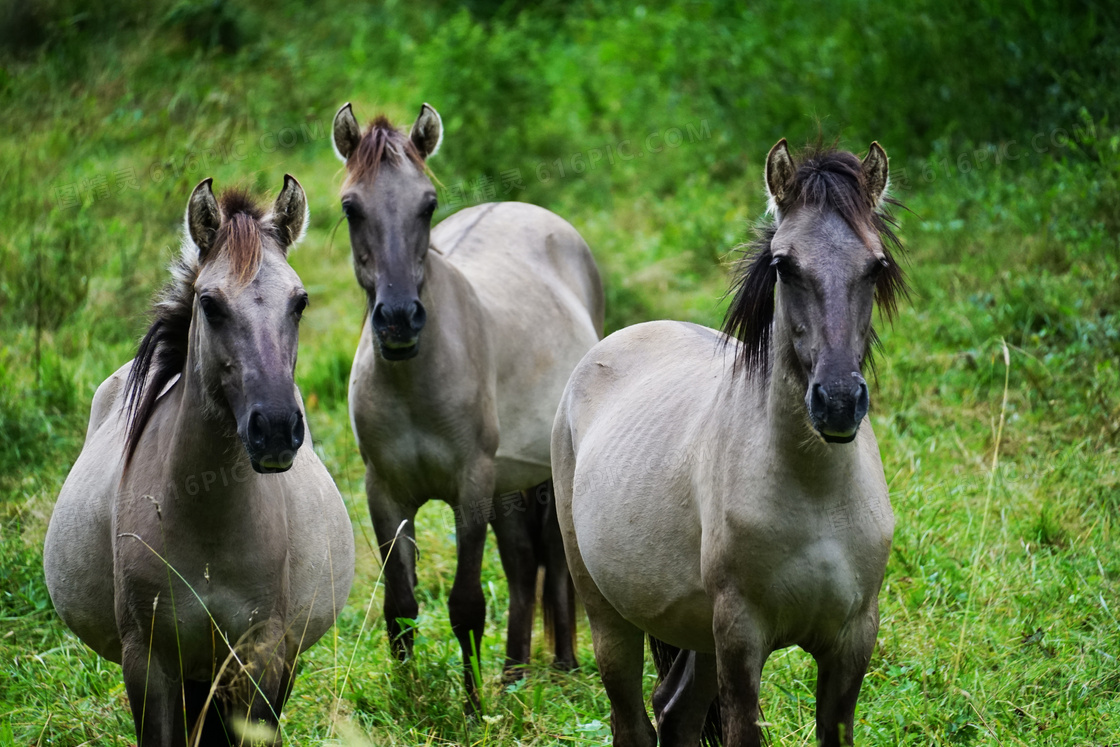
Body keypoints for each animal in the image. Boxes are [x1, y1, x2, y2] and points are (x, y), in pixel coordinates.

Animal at [42, 176, 353, 747]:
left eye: (299, 302)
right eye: (209, 303)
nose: (277, 428)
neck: (208, 525)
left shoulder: (262, 657)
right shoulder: (148, 665)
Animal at [331, 102, 604, 712]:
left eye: (427, 204)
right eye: (350, 206)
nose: (399, 319)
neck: (416, 381)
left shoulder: (470, 487)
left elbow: (466, 604)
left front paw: (474, 709)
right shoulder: (385, 493)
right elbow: (401, 608)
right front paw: (410, 701)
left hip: (546, 473)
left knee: (554, 562)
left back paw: (564, 667)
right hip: (509, 483)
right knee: (523, 567)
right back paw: (514, 673)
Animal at [551, 141, 909, 747]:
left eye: (876, 265)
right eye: (784, 265)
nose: (838, 401)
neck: (815, 495)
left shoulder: (852, 642)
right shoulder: (741, 640)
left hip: (697, 637)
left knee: (675, 713)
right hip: (610, 618)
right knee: (632, 722)